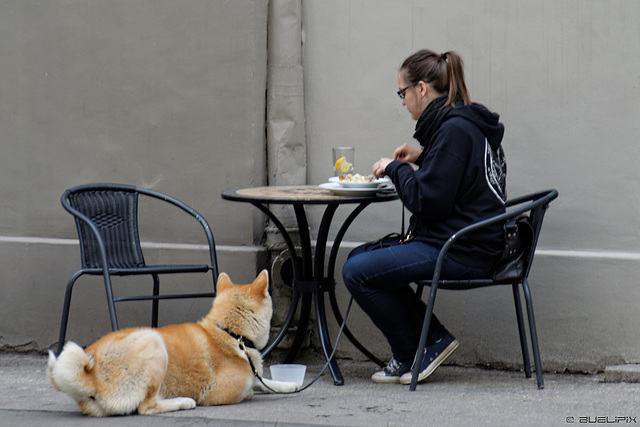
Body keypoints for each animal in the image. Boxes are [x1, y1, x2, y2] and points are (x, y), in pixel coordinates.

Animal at [45, 272, 300, 416]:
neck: (231, 334)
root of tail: (90, 373)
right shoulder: (220, 392)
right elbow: (251, 389)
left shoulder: (253, 374)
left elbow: (265, 381)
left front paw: (289, 385)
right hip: (153, 341)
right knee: (146, 407)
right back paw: (183, 402)